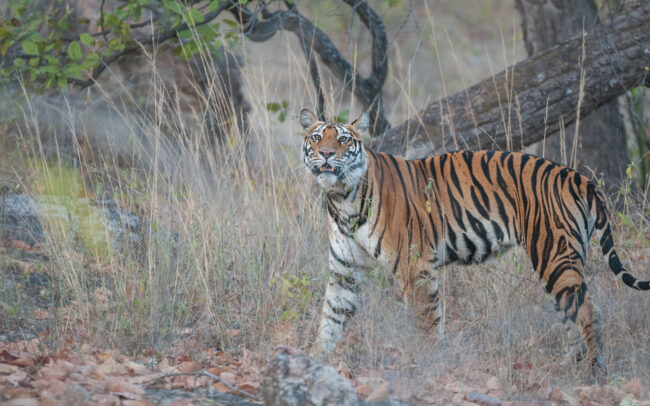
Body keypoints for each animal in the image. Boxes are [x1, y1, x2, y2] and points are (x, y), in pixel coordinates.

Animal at [298, 108, 650, 371]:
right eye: (317, 137)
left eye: (343, 139)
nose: (326, 153)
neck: (341, 197)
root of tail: (577, 176)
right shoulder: (345, 272)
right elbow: (329, 319)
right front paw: (314, 361)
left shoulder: (416, 267)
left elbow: (427, 322)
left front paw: (429, 365)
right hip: (559, 264)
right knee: (571, 315)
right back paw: (571, 366)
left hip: (554, 256)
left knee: (589, 312)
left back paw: (591, 371)